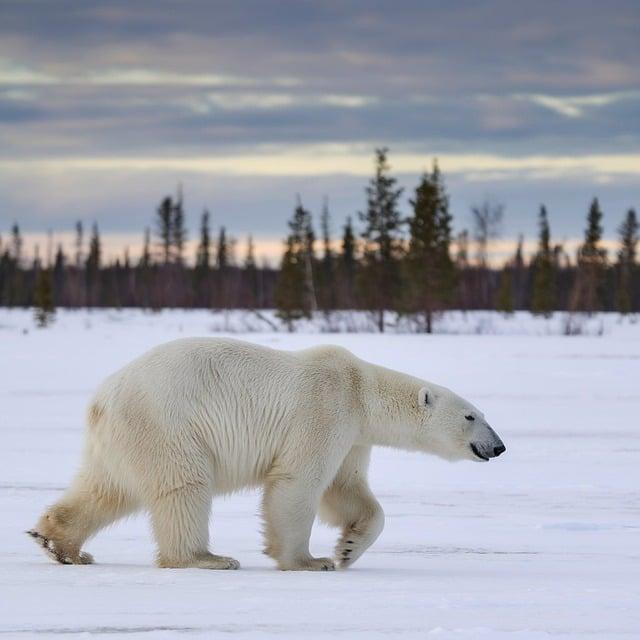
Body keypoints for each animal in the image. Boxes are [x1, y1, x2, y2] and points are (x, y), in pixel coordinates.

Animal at [28, 338, 504, 572]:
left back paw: (62, 545)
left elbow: (346, 490)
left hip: (124, 437)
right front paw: (311, 561)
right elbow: (298, 483)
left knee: (105, 489)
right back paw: (207, 558)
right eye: (471, 415)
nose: (498, 446)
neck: (360, 389)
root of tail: (102, 399)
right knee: (185, 487)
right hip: (167, 424)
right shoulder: (324, 408)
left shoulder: (353, 435)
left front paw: (348, 548)